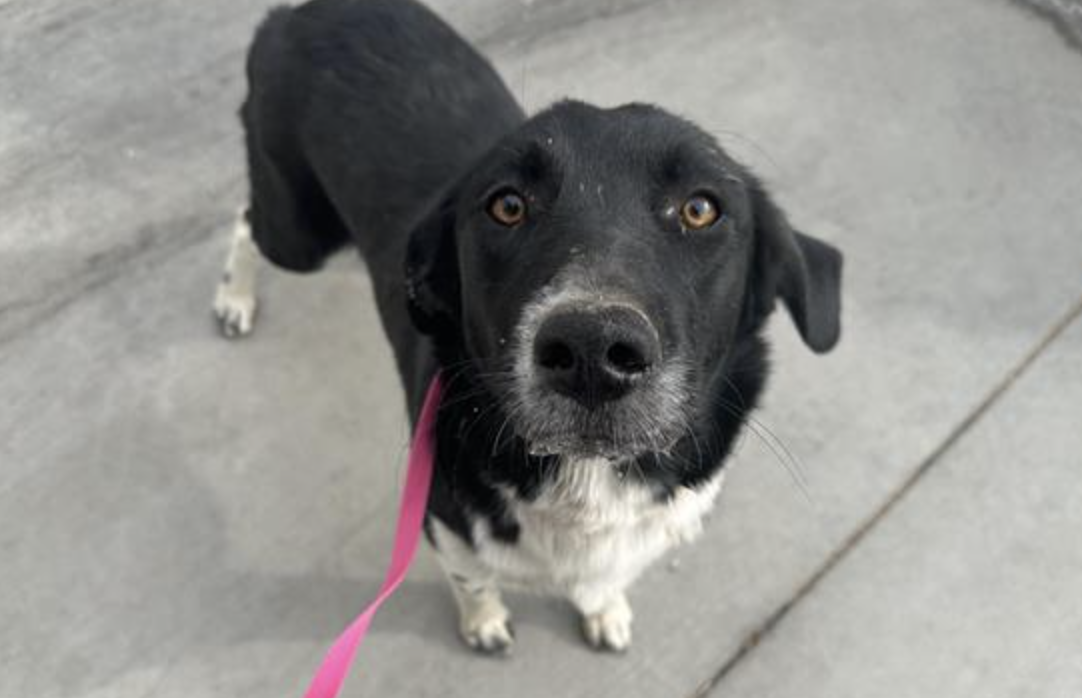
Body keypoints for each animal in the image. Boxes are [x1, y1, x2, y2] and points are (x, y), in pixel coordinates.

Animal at [213, 0, 843, 654]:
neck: (586, 482)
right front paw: (485, 621)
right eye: (507, 205)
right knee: (245, 220)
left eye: (700, 208)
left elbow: (609, 577)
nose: (593, 350)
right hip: (298, 233)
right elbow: (473, 579)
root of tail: (299, 12)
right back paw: (234, 299)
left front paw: (604, 606)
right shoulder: (442, 520)